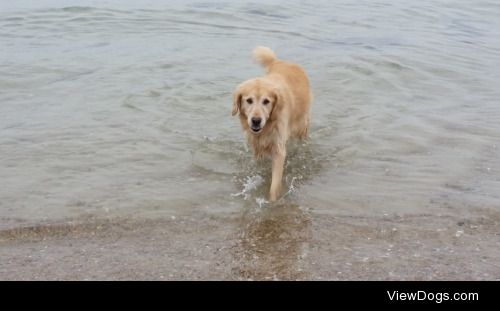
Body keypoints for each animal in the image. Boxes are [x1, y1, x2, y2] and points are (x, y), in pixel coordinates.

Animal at [232, 47, 310, 202]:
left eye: (266, 101)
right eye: (249, 100)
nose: (256, 120)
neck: (267, 128)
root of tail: (280, 61)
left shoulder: (278, 148)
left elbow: (274, 184)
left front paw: (272, 202)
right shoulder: (256, 146)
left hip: (301, 125)